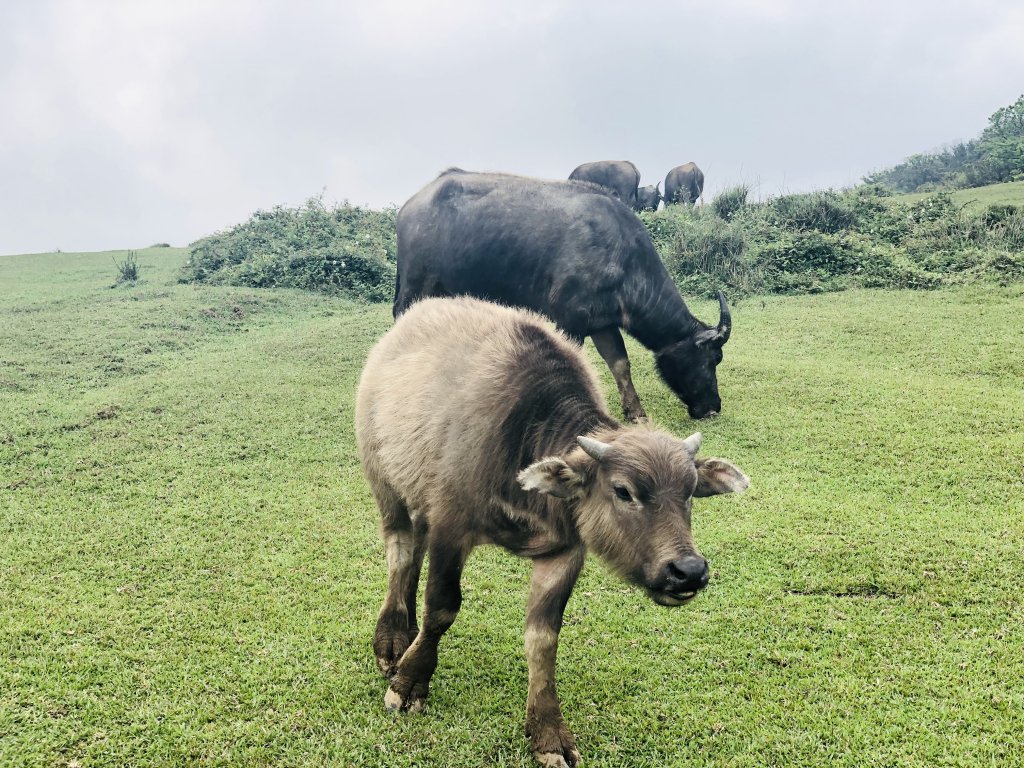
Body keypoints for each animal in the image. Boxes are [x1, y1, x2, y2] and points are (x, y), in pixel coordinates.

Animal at [356, 296, 749, 768]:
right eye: (624, 491)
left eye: (690, 492)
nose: (687, 571)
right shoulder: (450, 526)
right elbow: (442, 608)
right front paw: (410, 682)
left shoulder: (564, 552)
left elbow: (543, 639)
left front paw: (547, 732)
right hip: (385, 484)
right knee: (399, 551)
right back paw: (393, 639)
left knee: (412, 550)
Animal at [391, 169, 737, 421]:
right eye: (713, 359)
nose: (713, 407)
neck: (622, 256)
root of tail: (411, 204)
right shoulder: (570, 320)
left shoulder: (603, 323)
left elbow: (620, 364)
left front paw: (635, 412)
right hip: (415, 287)